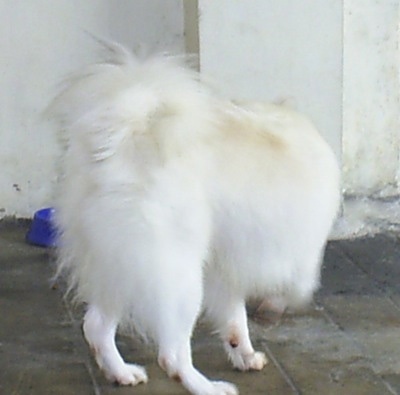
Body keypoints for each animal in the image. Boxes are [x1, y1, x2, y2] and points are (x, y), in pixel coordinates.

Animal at [49, 44, 338, 395]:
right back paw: (208, 387)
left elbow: (234, 317)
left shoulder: (226, 267)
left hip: (120, 266)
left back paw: (122, 373)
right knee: (171, 356)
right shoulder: (298, 252)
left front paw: (243, 352)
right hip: (179, 275)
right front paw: (273, 309)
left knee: (95, 327)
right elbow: (297, 286)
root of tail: (127, 135)